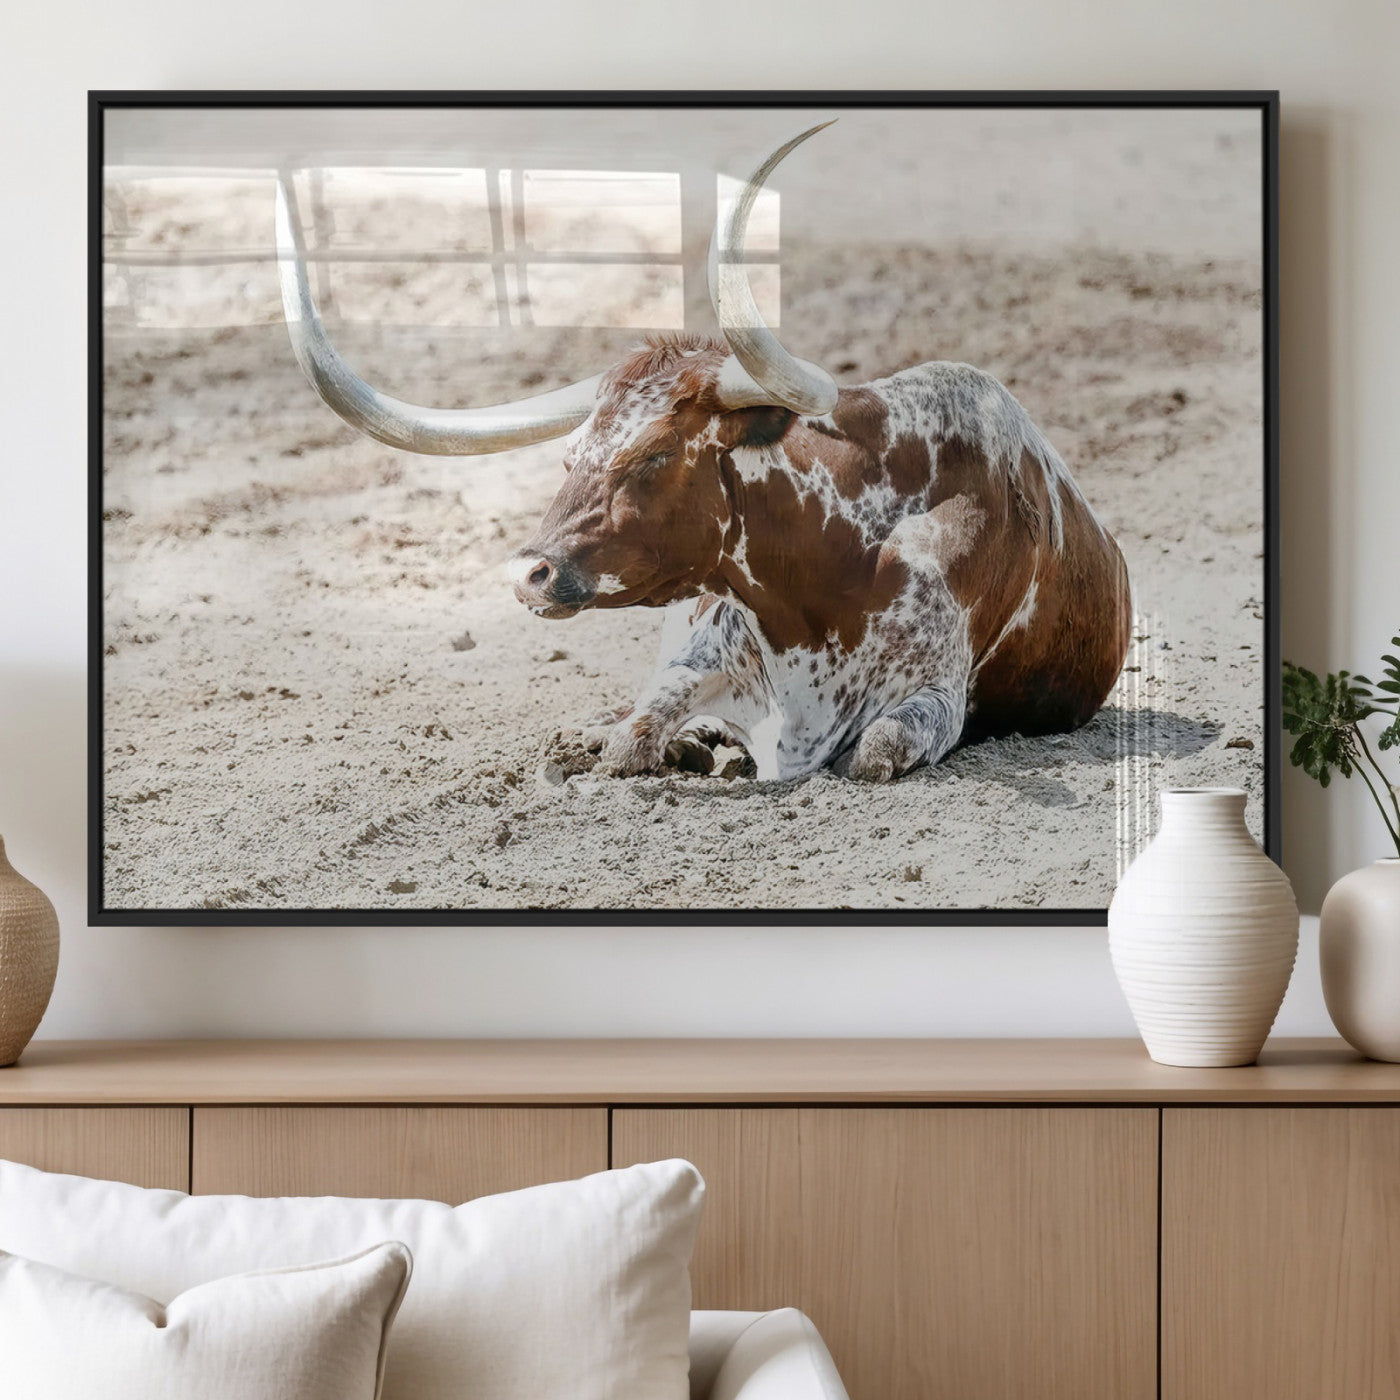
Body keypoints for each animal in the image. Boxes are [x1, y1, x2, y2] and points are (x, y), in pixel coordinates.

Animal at [274, 124, 1131, 783]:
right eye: (570, 456)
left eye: (654, 455)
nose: (530, 574)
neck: (830, 577)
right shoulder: (700, 650)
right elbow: (633, 734)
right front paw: (653, 743)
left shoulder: (933, 700)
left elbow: (873, 750)